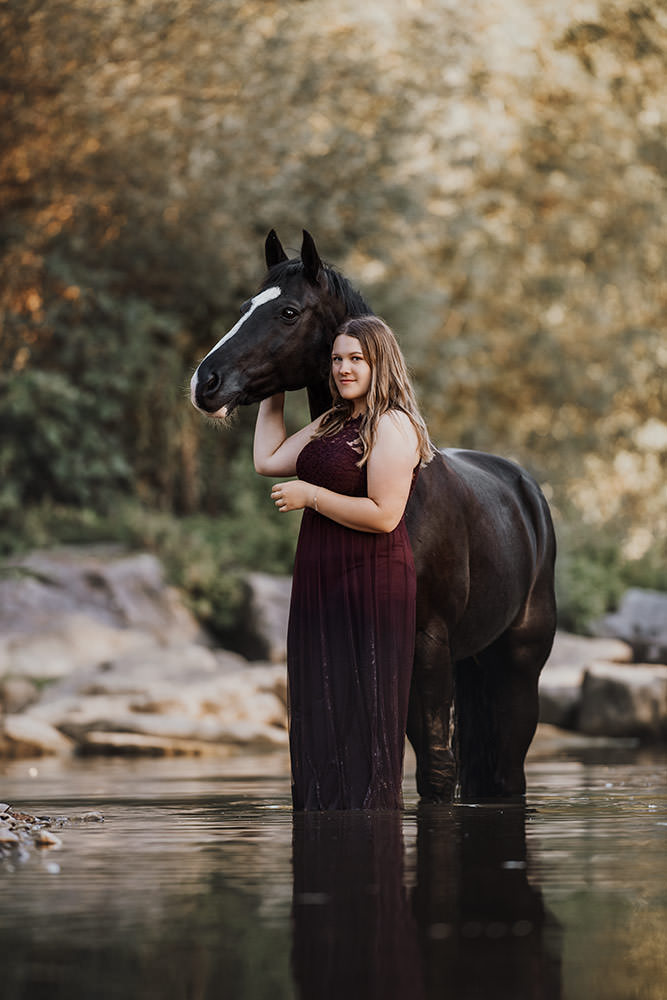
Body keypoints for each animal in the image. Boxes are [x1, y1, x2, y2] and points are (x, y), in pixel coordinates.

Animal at [190, 229, 557, 802]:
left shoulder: (427, 649)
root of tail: (527, 492)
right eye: (247, 306)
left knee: (505, 770)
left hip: (518, 669)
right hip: (474, 662)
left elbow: (435, 772)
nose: (205, 382)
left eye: (289, 312)